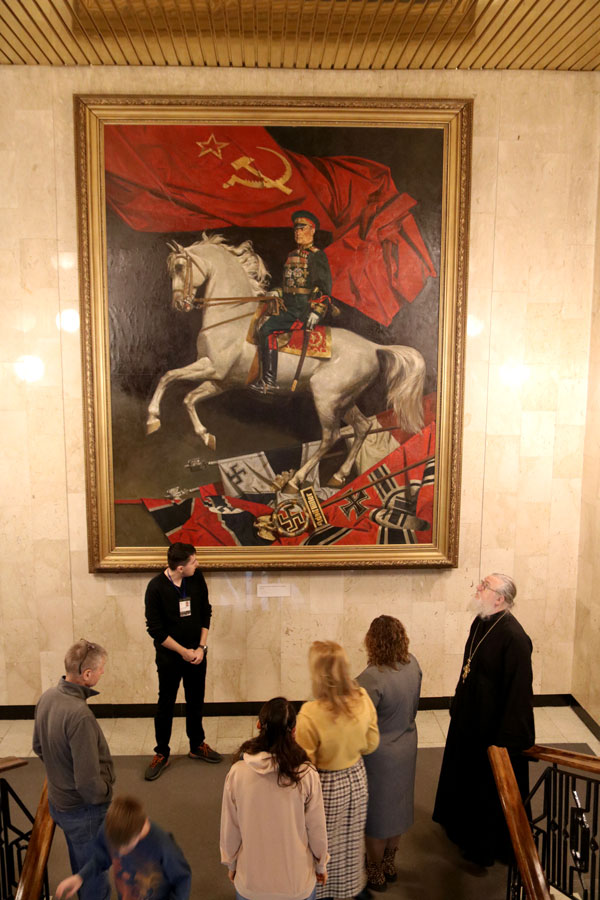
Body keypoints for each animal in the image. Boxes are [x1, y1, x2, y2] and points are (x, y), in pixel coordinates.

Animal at [146, 233, 425, 493]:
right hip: (344, 400)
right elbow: (188, 398)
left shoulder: (212, 367)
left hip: (326, 398)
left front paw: (152, 419)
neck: (232, 318)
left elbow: (168, 375)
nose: (178, 304)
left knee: (331, 436)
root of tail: (374, 347)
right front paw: (206, 437)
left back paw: (295, 480)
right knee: (362, 427)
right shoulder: (220, 381)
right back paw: (338, 476)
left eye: (180, 267)